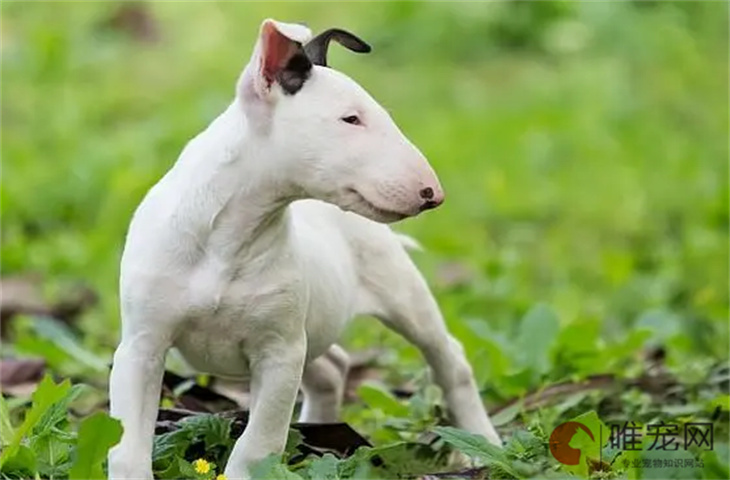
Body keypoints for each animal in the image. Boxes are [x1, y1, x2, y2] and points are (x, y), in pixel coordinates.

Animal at [108, 19, 500, 480]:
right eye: (351, 118)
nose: (433, 194)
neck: (228, 237)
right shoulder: (142, 346)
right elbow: (128, 445)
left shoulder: (280, 352)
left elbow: (257, 445)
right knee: (333, 367)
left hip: (401, 295)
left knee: (449, 360)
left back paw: (480, 446)